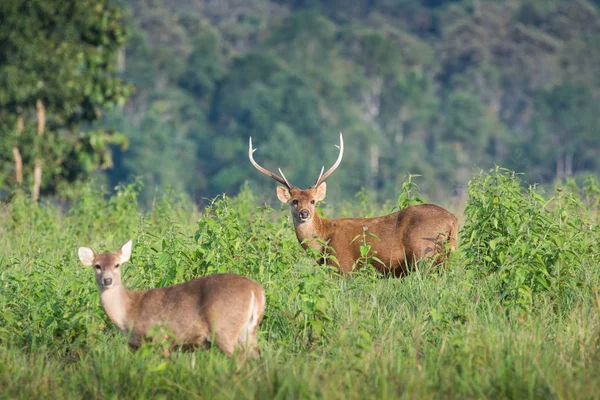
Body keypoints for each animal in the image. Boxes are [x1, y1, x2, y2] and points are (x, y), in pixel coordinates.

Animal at [78, 239, 266, 358]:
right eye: (97, 266)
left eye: (117, 265)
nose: (107, 280)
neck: (129, 310)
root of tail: (256, 290)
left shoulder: (160, 337)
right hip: (249, 330)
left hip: (223, 327)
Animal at [250, 133, 460, 276]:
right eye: (294, 201)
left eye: (313, 201)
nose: (304, 213)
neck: (324, 241)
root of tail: (453, 219)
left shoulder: (342, 266)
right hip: (445, 255)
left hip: (424, 253)